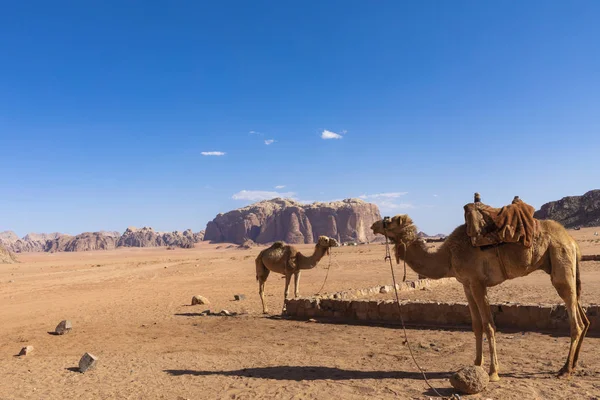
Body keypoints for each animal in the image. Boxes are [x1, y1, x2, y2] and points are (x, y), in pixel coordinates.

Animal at [370, 216, 592, 382]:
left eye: (389, 220)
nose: (374, 225)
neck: (448, 255)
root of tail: (572, 242)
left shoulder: (478, 283)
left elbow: (489, 325)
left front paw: (493, 372)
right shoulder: (467, 284)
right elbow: (476, 324)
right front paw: (476, 363)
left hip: (560, 266)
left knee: (576, 322)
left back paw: (565, 370)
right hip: (568, 270)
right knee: (584, 318)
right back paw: (572, 365)